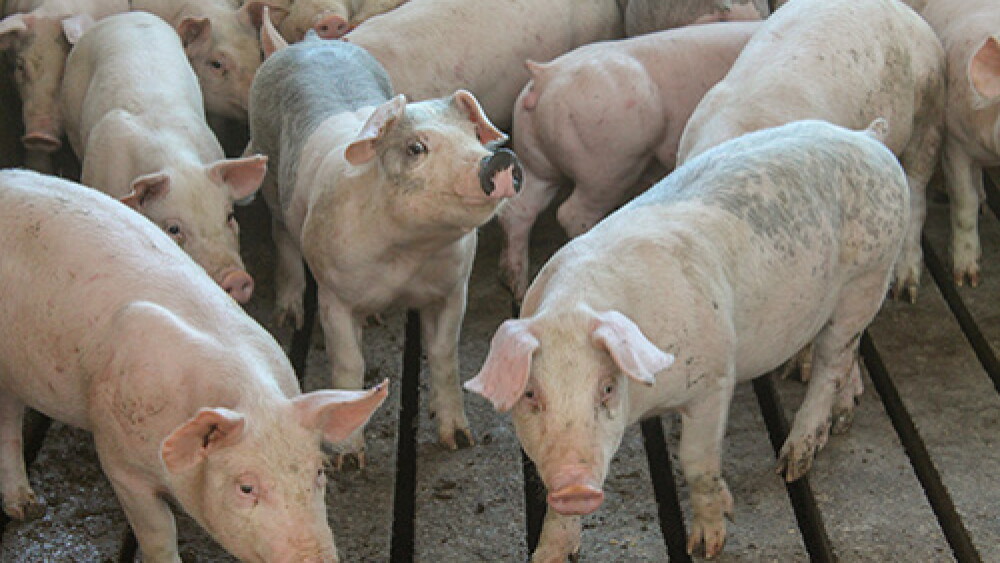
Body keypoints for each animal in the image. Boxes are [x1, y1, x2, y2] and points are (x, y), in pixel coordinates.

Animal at [0, 168, 389, 562]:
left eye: (319, 473)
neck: (253, 398)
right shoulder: (119, 461)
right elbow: (158, 531)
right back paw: (27, 509)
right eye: (246, 487)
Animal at [247, 27, 520, 464]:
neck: (407, 254)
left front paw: (460, 441)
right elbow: (349, 362)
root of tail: (306, 42)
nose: (498, 159)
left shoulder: (451, 288)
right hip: (270, 168)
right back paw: (288, 317)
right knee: (282, 234)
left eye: (475, 136)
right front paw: (348, 460)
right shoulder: (334, 293)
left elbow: (444, 355)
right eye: (415, 148)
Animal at [467, 119, 908, 560]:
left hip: (868, 277)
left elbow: (698, 462)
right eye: (530, 394)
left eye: (607, 387)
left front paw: (708, 544)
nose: (575, 487)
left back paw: (793, 462)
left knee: (833, 361)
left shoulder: (713, 380)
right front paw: (547, 554)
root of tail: (868, 138)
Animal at [499, 21, 761, 300]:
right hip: (609, 163)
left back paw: (518, 291)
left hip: (535, 161)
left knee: (517, 210)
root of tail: (544, 76)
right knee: (572, 213)